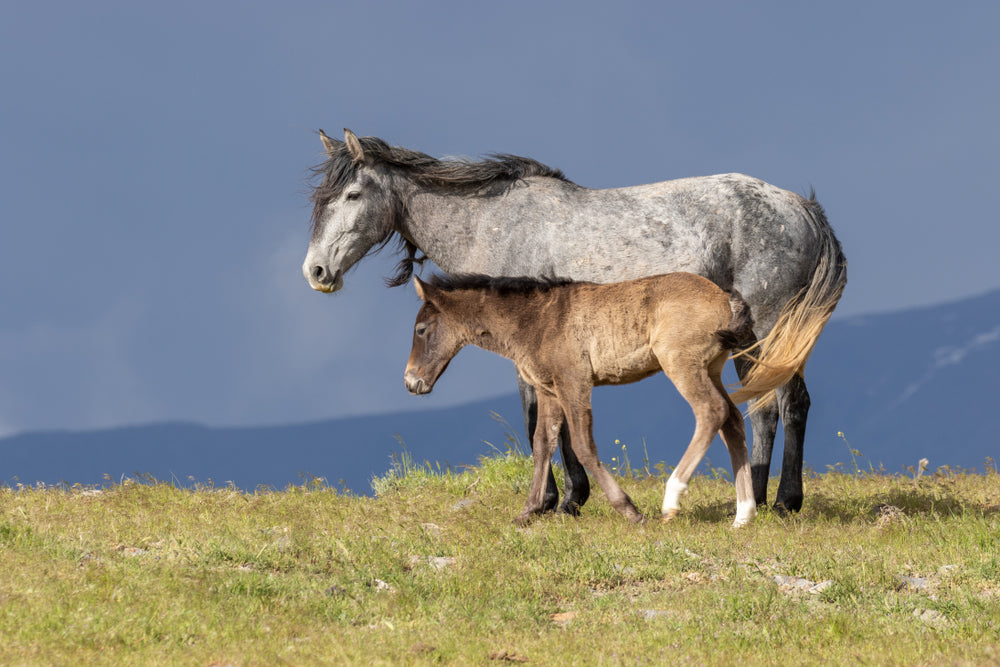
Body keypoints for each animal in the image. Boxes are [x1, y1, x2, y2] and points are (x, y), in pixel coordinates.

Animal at [403, 272, 798, 527]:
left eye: (421, 330)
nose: (411, 382)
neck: (536, 321)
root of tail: (724, 298)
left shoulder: (573, 383)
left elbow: (582, 444)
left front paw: (629, 510)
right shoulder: (549, 390)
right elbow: (542, 443)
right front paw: (528, 511)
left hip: (681, 364)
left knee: (711, 412)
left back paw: (671, 501)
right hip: (711, 369)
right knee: (731, 419)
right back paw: (743, 514)